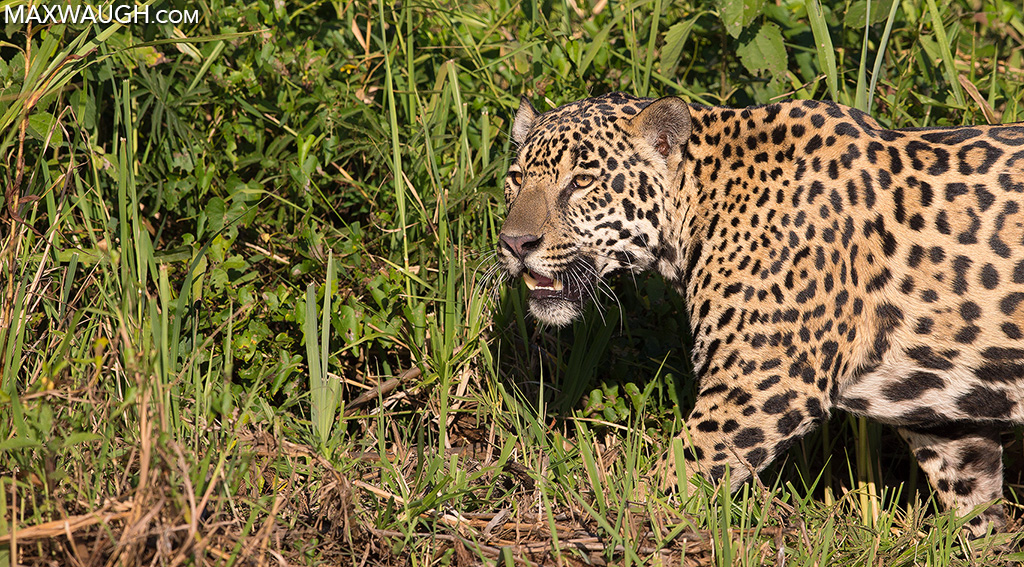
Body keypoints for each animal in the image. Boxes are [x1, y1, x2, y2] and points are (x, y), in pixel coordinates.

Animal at [497, 91, 1024, 538]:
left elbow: (679, 474)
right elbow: (973, 494)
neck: (698, 210)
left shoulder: (760, 383)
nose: (515, 244)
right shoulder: (943, 416)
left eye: (582, 182)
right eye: (516, 178)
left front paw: (625, 518)